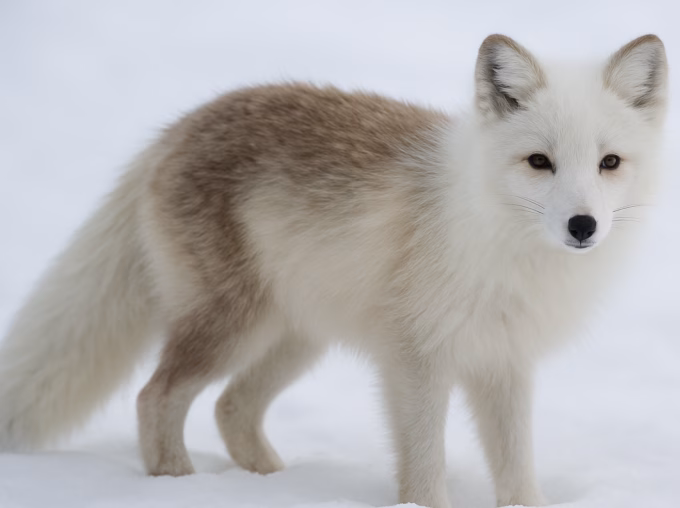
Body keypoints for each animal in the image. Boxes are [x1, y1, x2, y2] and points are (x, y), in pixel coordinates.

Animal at [0, 34, 668, 507]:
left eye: (610, 162)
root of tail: (179, 127)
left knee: (230, 408)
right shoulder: (415, 361)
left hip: (297, 338)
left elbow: (516, 470)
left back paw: (271, 485)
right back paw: (180, 487)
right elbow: (424, 470)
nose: (583, 226)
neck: (501, 245)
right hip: (231, 328)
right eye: (539, 162)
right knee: (155, 396)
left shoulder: (503, 362)